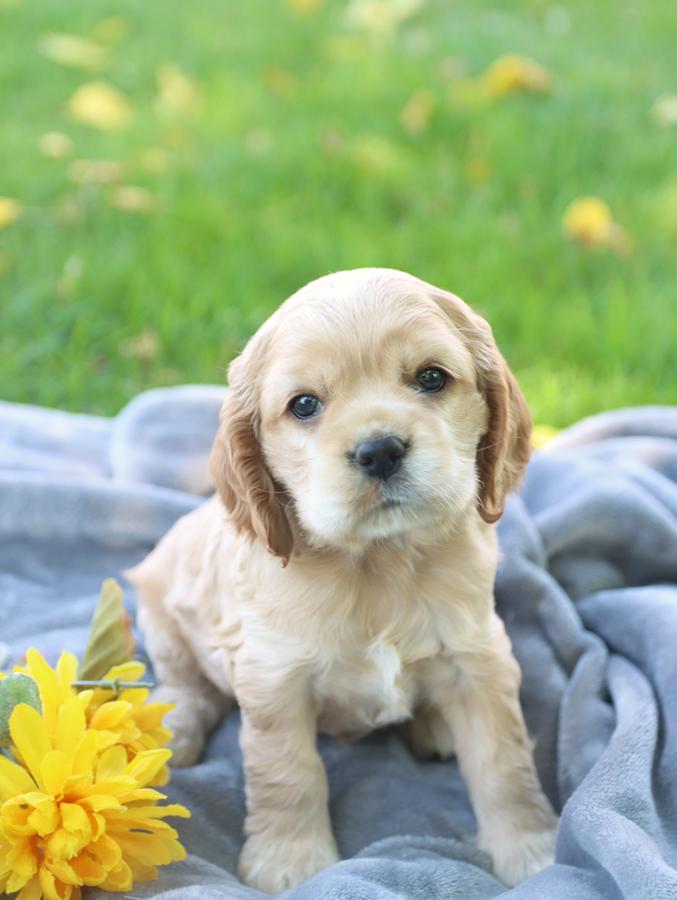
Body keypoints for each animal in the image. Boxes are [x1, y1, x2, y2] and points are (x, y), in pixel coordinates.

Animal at [127, 268, 556, 892]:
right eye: (304, 405)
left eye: (431, 377)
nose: (379, 451)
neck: (379, 561)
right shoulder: (274, 679)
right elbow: (289, 771)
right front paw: (290, 859)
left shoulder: (480, 658)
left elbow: (504, 761)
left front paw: (530, 850)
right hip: (160, 608)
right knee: (187, 686)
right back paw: (173, 729)